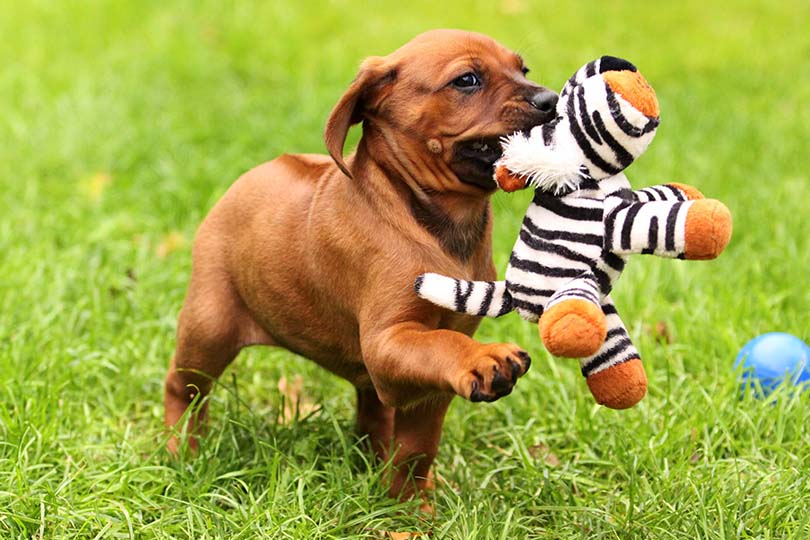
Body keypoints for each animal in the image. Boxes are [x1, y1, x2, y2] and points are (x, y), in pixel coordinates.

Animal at [164, 29, 556, 500]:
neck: (433, 219)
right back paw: (180, 451)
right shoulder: (389, 340)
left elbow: (417, 449)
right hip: (210, 327)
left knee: (374, 414)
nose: (552, 100)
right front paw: (483, 357)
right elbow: (441, 344)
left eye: (523, 69)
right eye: (467, 80)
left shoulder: (425, 384)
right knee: (184, 389)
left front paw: (408, 506)